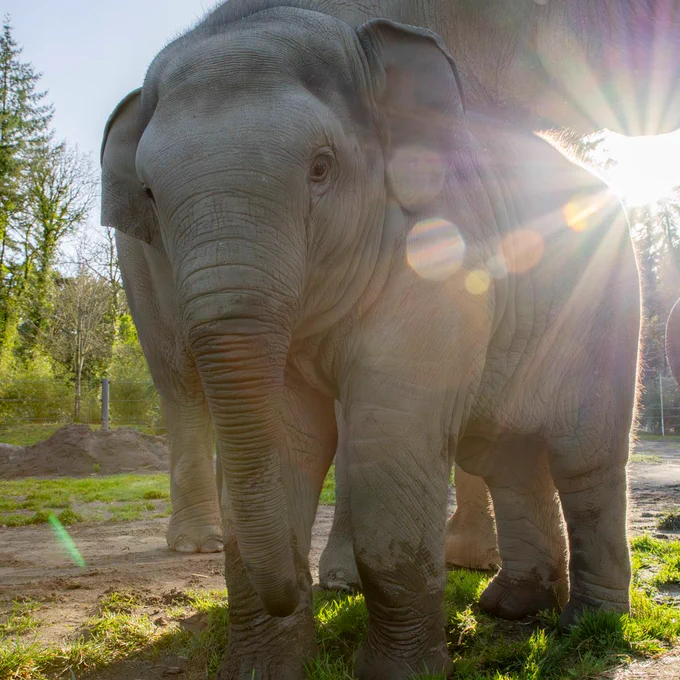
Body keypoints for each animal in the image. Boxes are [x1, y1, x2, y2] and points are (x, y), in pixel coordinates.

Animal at [101, 7, 640, 678]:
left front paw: (396, 671)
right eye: (149, 194)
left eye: (321, 167)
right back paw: (510, 606)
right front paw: (260, 668)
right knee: (507, 457)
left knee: (585, 458)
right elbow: (289, 434)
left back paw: (589, 623)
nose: (295, 587)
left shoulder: (442, 256)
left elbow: (390, 435)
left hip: (606, 310)